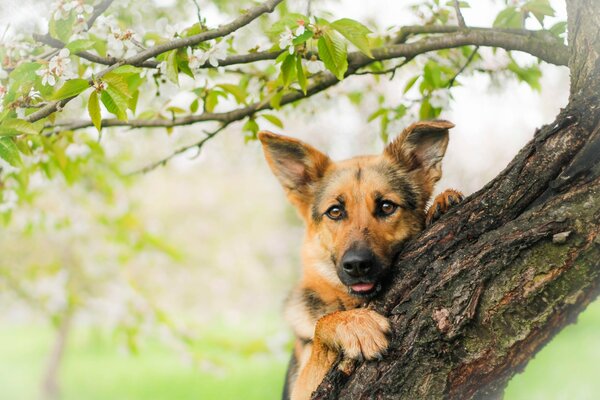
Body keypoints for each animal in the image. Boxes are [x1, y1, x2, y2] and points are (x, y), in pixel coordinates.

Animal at [258, 119, 464, 400]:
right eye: (335, 211)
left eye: (387, 206)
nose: (356, 265)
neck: (351, 303)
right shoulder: (301, 389)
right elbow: (321, 325)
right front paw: (353, 324)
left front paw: (442, 201)